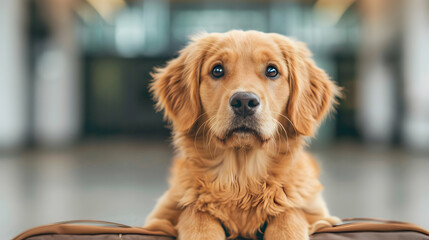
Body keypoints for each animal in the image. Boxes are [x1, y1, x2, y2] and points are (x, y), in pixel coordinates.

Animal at [145, 30, 340, 240]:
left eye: (272, 71)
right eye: (217, 70)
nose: (244, 102)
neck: (242, 178)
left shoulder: (316, 210)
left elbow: (289, 211)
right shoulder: (161, 214)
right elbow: (196, 211)